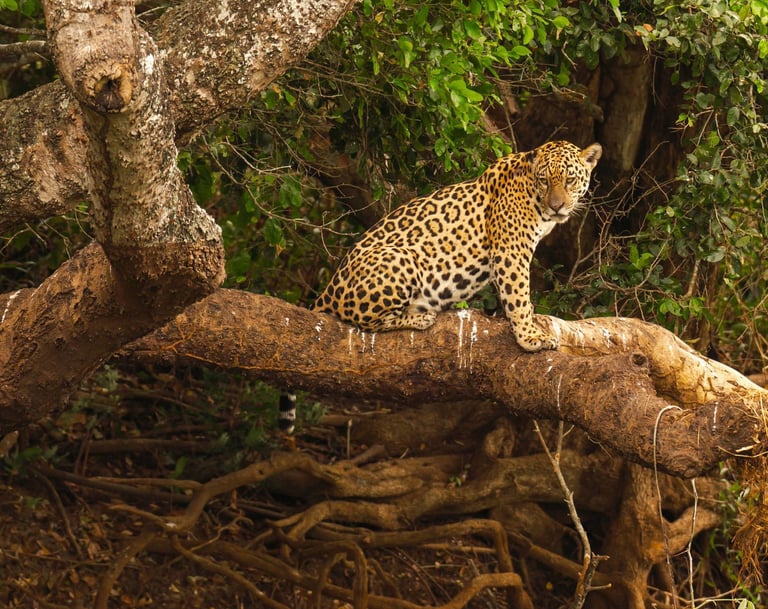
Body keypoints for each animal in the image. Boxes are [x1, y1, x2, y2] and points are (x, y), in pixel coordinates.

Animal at [312, 140, 602, 352]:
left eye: (569, 180)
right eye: (545, 180)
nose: (557, 206)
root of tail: (327, 291)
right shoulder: (511, 252)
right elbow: (518, 295)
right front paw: (530, 337)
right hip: (401, 257)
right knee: (364, 321)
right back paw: (420, 317)